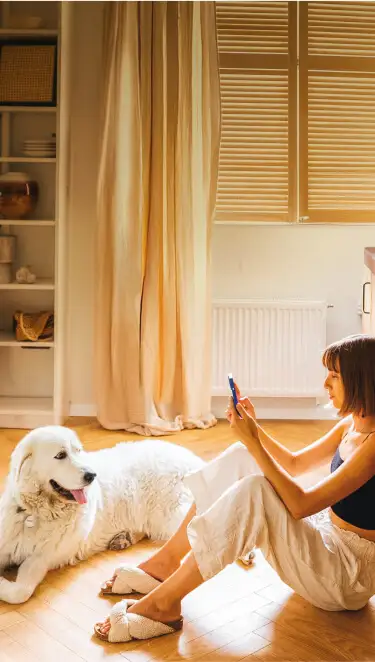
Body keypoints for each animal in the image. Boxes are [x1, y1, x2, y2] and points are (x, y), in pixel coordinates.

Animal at [0, 426, 204, 608]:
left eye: (78, 451)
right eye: (60, 455)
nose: (92, 475)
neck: (35, 513)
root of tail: (196, 461)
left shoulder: (41, 558)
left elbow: (21, 592)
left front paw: (2, 584)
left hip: (171, 513)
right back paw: (123, 539)